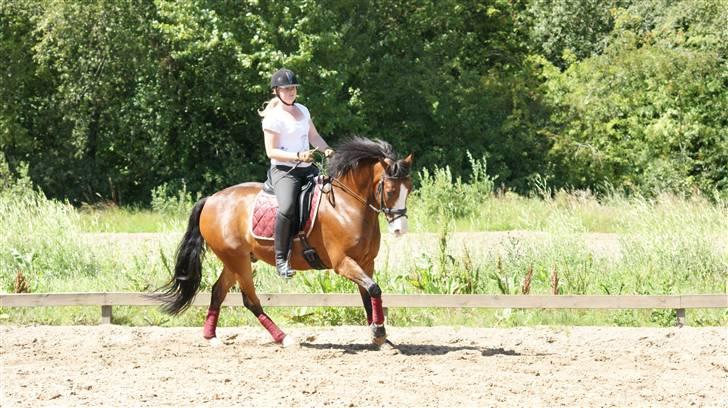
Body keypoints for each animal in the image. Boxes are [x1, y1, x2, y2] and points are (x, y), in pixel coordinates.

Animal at [156, 135, 412, 346]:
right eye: (390, 191)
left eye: (408, 189)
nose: (400, 229)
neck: (346, 205)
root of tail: (211, 199)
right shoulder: (343, 263)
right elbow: (374, 289)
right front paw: (379, 333)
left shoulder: (366, 262)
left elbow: (369, 295)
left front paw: (381, 338)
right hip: (237, 260)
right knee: (250, 300)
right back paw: (284, 338)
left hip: (234, 260)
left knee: (218, 292)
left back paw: (211, 337)